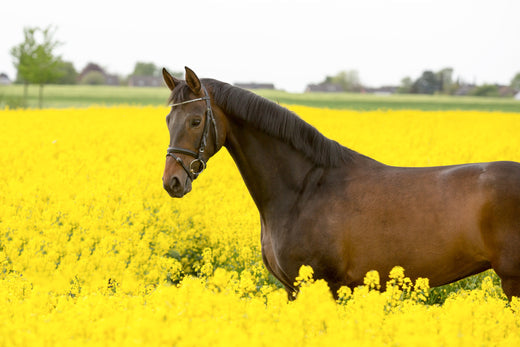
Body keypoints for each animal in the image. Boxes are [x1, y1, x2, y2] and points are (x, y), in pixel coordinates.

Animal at [161, 66, 520, 300]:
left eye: (196, 120)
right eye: (168, 119)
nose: (172, 181)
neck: (304, 189)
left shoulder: (325, 285)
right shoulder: (293, 290)